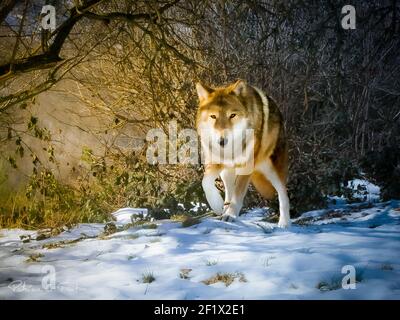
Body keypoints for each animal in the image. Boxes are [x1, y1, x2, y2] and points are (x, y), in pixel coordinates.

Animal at [195, 81, 290, 229]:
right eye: (213, 116)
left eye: (232, 115)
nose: (222, 141)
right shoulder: (215, 161)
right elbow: (205, 182)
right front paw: (217, 205)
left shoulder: (246, 166)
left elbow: (238, 192)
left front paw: (231, 215)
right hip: (227, 172)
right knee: (229, 190)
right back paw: (224, 208)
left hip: (271, 169)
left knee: (283, 194)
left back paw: (284, 224)